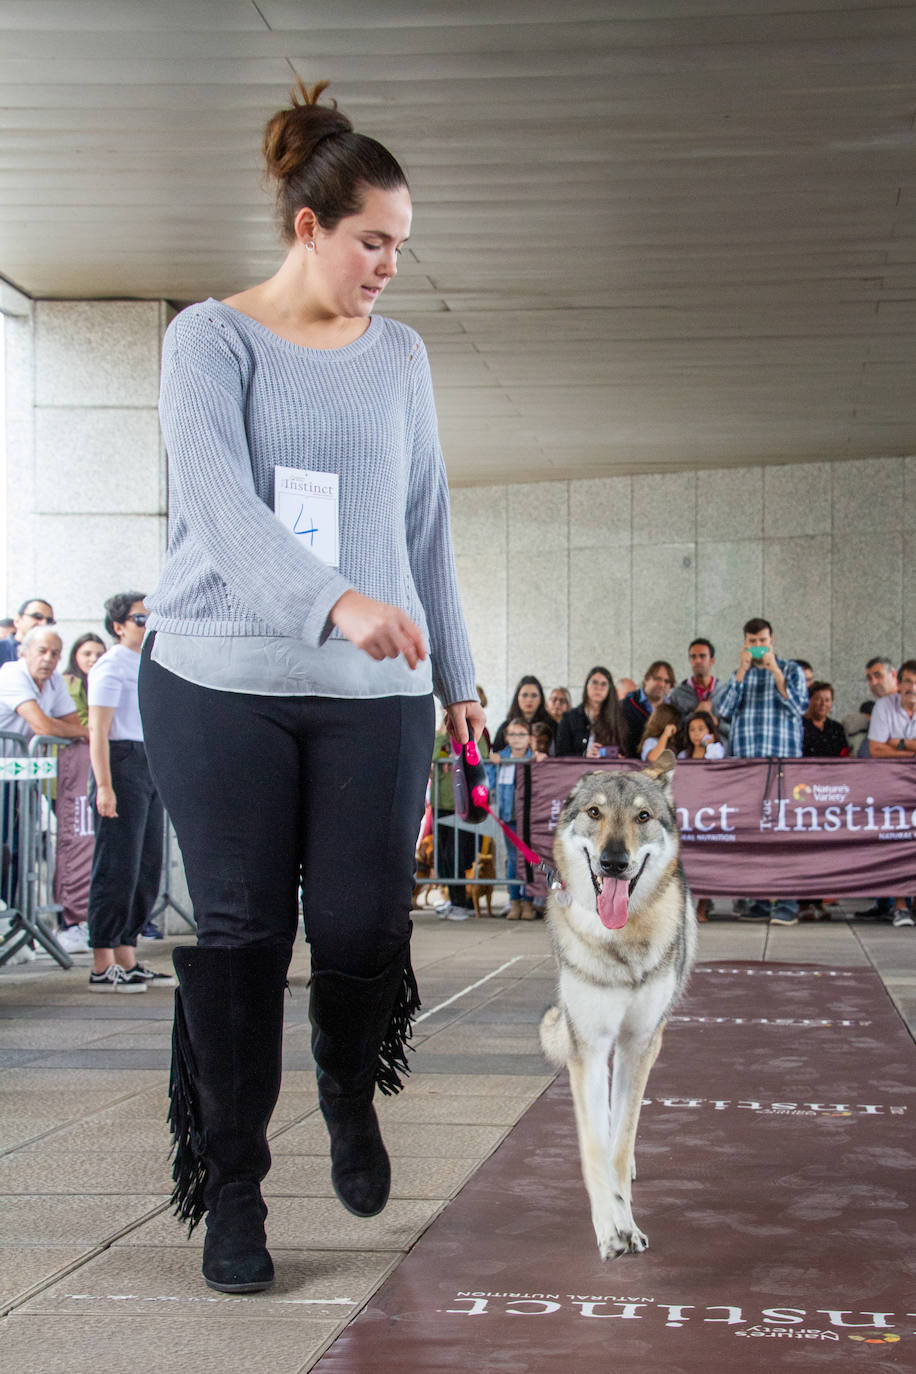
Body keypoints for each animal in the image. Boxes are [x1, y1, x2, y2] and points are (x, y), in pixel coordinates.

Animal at [538, 758, 694, 1258]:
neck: (619, 939)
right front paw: (611, 1231)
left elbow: (620, 1144)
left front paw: (626, 1221)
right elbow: (595, 1146)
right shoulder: (588, 1047)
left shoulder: (636, 1044)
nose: (614, 863)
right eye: (594, 812)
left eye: (642, 816)